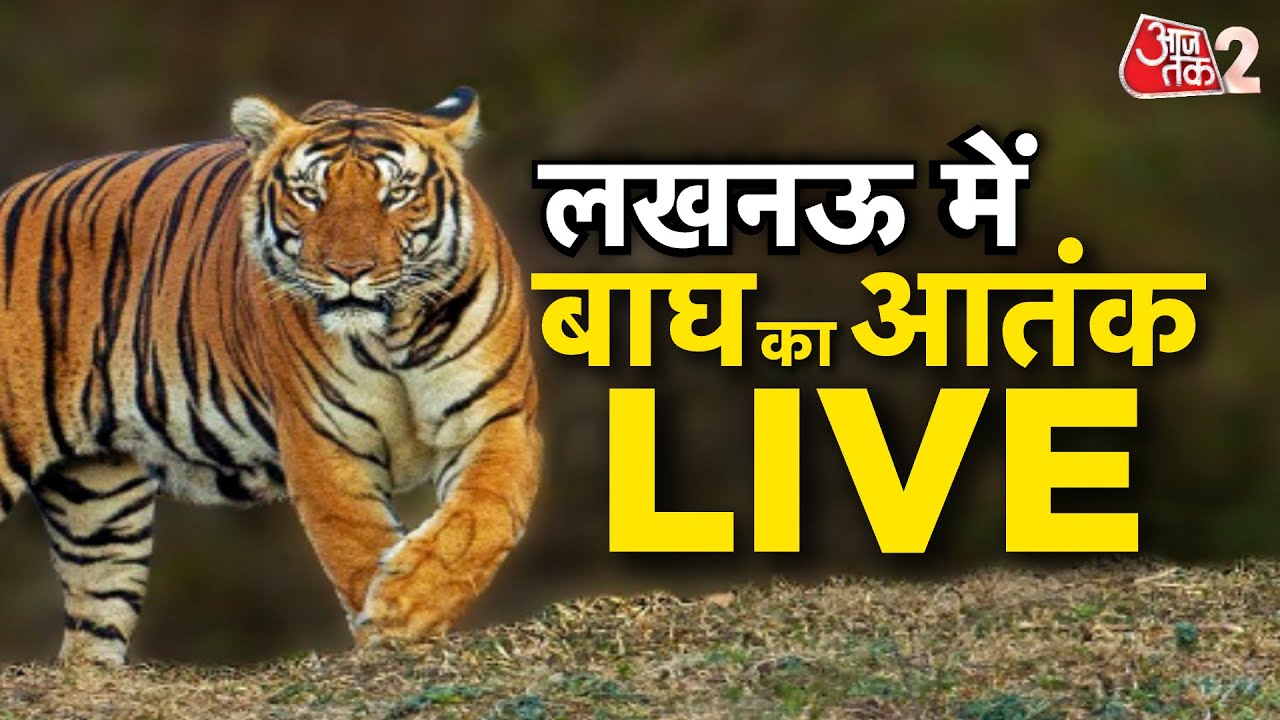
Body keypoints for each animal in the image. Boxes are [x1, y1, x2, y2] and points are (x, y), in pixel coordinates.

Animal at [0, 87, 541, 664]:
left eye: (396, 194)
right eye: (309, 194)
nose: (350, 271)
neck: (392, 331)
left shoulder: (497, 417)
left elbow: (482, 516)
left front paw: (410, 604)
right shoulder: (324, 440)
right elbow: (356, 540)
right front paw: (388, 622)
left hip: (101, 508)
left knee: (91, 629)